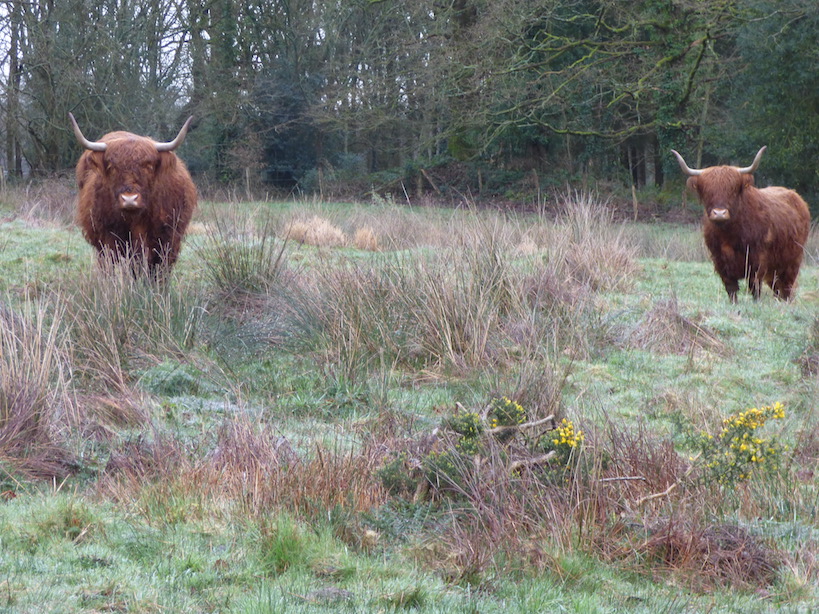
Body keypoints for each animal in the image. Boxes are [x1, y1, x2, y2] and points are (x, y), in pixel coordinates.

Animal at [69, 114, 198, 278]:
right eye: (112, 167)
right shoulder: (108, 238)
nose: (129, 199)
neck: (135, 220)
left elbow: (158, 270)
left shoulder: (168, 240)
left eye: (149, 166)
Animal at [672, 149, 812, 304]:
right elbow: (731, 288)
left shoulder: (757, 260)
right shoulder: (720, 261)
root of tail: (796, 196)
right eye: (707, 191)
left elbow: (754, 287)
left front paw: (756, 303)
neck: (729, 234)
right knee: (777, 287)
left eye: (733, 190)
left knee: (786, 287)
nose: (719, 213)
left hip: (793, 260)